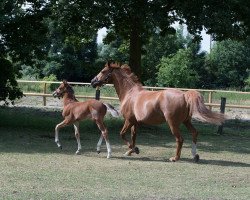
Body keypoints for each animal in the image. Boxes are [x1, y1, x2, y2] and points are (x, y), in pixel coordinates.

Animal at [91, 60, 226, 161]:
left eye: (103, 71)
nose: (93, 81)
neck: (130, 93)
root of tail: (184, 95)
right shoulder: (135, 122)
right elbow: (133, 136)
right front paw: (130, 152)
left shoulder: (128, 120)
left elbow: (122, 134)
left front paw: (135, 150)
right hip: (186, 121)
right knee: (194, 133)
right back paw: (195, 155)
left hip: (173, 123)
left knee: (180, 139)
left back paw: (175, 158)